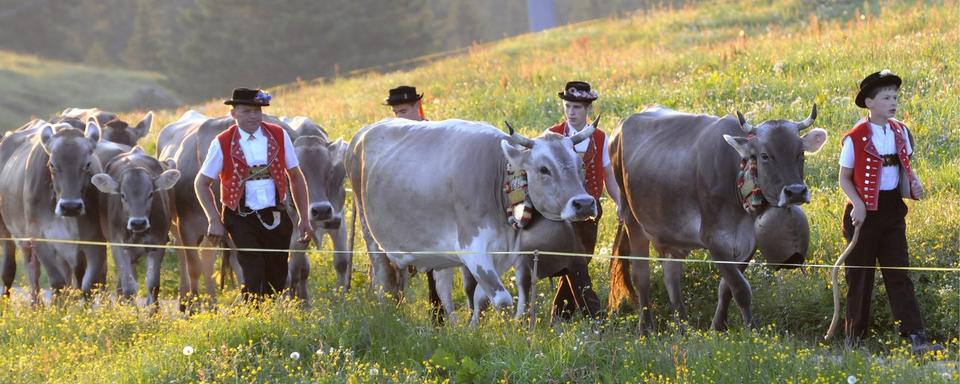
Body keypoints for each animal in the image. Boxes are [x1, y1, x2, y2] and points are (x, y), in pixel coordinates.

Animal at [91, 147, 180, 306]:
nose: (138, 222)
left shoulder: (158, 243)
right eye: (123, 195)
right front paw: (131, 311)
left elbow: (152, 284)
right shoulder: (118, 245)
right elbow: (129, 287)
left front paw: (153, 310)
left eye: (150, 194)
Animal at [608, 106, 824, 332]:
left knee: (671, 276)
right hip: (632, 219)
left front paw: (718, 326)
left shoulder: (748, 242)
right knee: (641, 275)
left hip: (670, 232)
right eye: (765, 155)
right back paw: (646, 327)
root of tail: (620, 127)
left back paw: (684, 327)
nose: (796, 192)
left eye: (800, 153)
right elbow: (740, 288)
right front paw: (751, 329)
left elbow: (726, 288)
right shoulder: (714, 240)